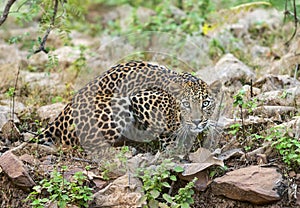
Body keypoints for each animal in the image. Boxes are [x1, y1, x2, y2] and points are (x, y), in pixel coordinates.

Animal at [36, 60, 216, 154]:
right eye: (186, 104)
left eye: (205, 103)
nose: (197, 121)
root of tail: (61, 116)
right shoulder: (141, 99)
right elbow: (164, 128)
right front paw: (173, 146)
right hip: (116, 106)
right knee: (92, 146)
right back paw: (126, 151)